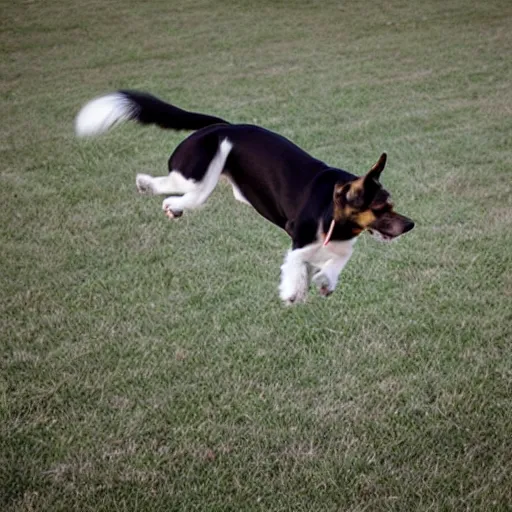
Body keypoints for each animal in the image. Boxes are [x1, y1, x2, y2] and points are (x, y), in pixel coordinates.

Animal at [76, 91, 414, 304]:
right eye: (382, 207)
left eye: (392, 205)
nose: (410, 225)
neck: (334, 213)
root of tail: (220, 126)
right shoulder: (299, 237)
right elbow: (296, 262)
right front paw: (293, 292)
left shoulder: (340, 246)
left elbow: (336, 262)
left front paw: (324, 282)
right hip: (202, 166)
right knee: (171, 188)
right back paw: (147, 186)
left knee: (180, 196)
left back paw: (171, 207)